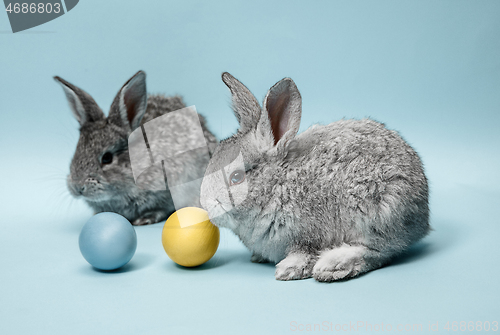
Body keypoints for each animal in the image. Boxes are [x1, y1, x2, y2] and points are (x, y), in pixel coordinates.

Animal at [199, 74, 430, 284]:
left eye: (236, 177)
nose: (205, 206)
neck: (277, 187)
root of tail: (423, 211)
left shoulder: (309, 236)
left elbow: (305, 253)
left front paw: (288, 269)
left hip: (378, 211)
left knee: (379, 250)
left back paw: (333, 265)